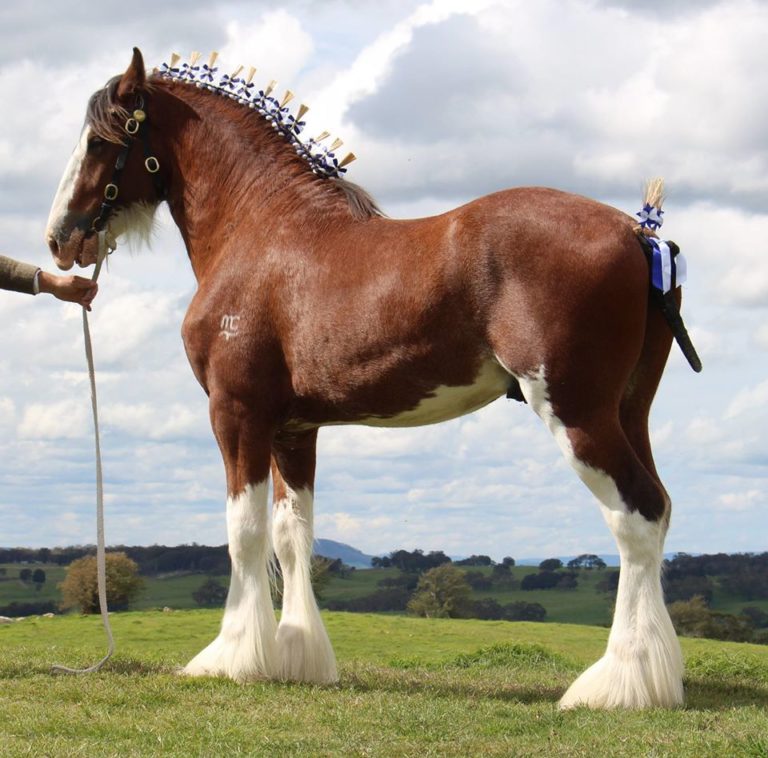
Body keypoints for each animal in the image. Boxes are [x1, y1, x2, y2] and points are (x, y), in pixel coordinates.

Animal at [45, 50, 700, 708]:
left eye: (101, 141)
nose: (59, 237)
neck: (260, 230)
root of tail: (639, 234)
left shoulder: (237, 413)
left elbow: (244, 531)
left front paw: (232, 657)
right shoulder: (293, 430)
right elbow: (292, 534)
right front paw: (298, 655)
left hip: (575, 412)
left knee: (636, 516)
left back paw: (618, 682)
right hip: (628, 411)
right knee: (661, 509)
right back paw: (655, 676)